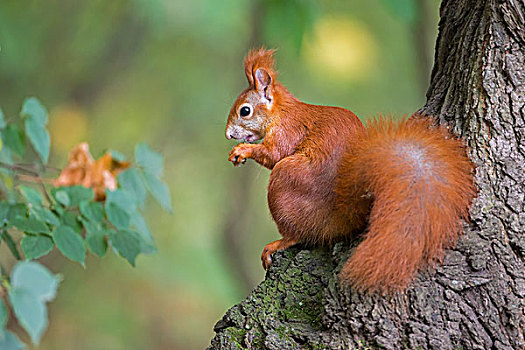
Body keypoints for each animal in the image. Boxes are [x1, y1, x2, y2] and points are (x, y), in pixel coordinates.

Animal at [225, 47, 474, 292]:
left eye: (245, 111)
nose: (228, 134)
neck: (282, 111)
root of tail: (343, 215)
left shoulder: (289, 129)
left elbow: (274, 154)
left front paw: (243, 150)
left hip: (284, 180)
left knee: (299, 233)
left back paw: (279, 243)